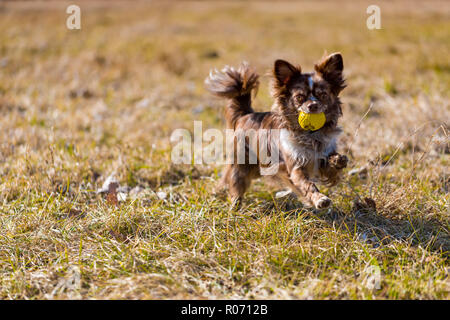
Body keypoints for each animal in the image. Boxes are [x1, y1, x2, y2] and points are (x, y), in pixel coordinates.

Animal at [204, 52, 348, 209]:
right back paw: (234, 206)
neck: (311, 135)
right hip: (242, 165)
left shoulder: (322, 159)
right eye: (299, 97)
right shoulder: (295, 168)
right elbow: (308, 185)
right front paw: (319, 199)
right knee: (236, 184)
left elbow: (332, 166)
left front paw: (338, 160)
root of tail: (246, 114)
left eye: (323, 95)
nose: (313, 105)